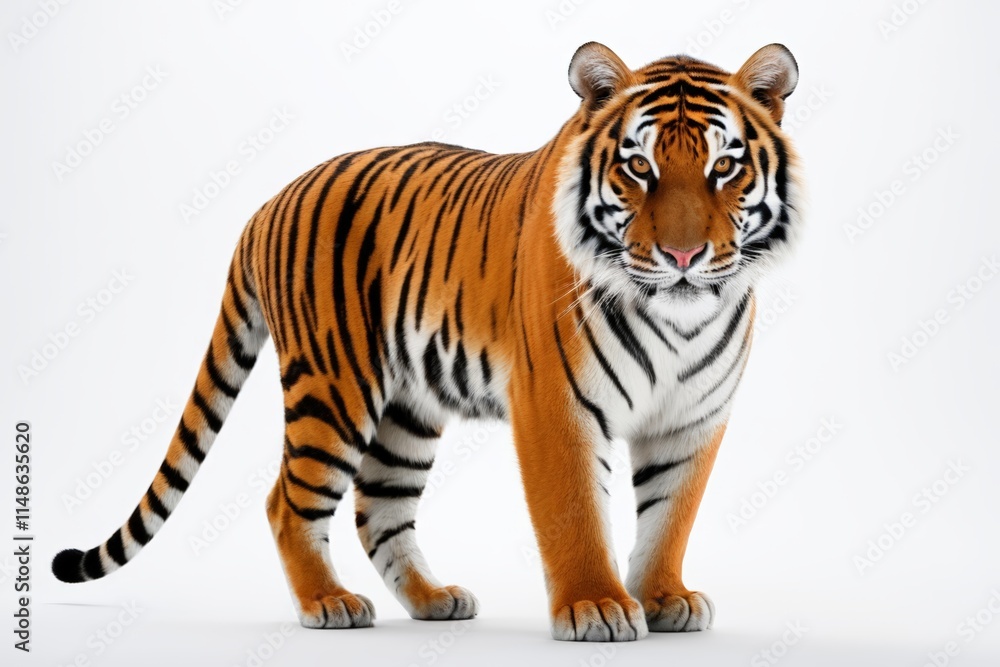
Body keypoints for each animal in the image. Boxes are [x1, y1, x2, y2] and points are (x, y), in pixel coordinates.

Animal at [52, 41, 802, 642]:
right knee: (288, 501)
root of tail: (267, 203)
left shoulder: (693, 417)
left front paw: (665, 598)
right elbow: (576, 513)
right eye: (639, 168)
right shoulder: (556, 406)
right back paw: (327, 602)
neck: (680, 319)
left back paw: (432, 599)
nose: (683, 256)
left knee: (378, 506)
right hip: (334, 387)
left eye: (724, 168)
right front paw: (597, 607)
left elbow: (671, 514)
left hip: (406, 409)